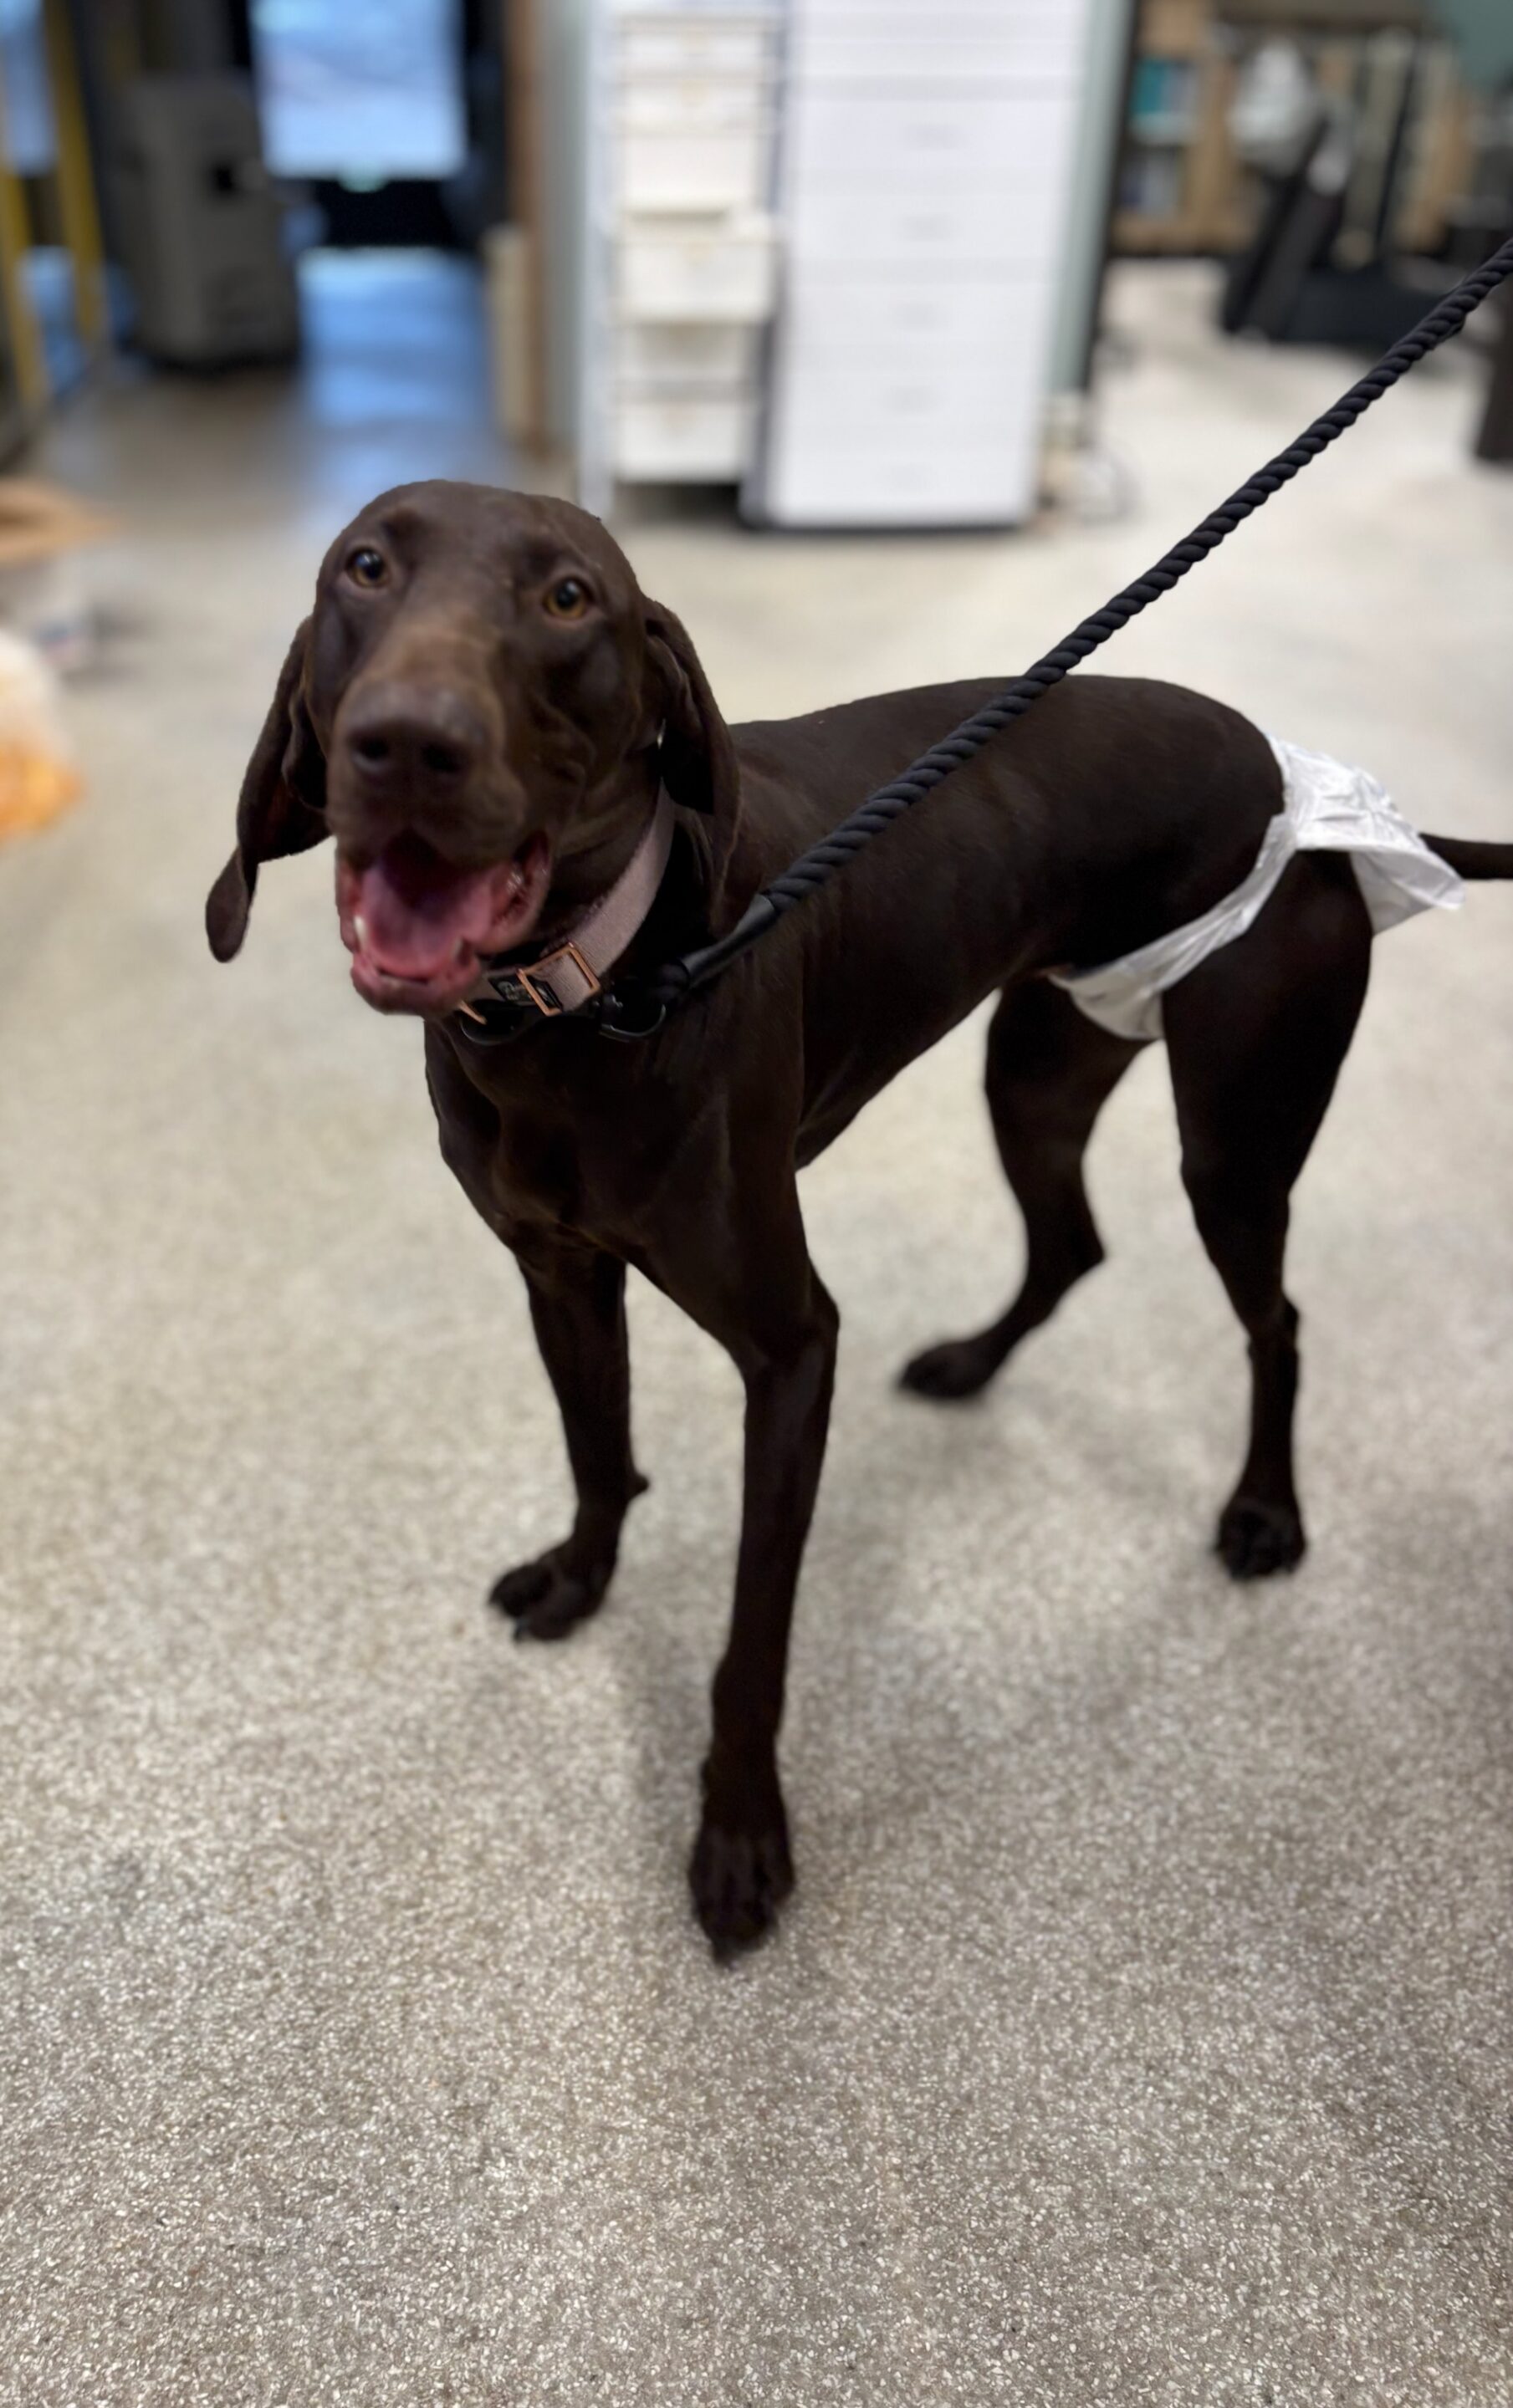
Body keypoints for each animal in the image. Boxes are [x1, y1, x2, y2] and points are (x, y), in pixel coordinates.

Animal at [207, 482, 1511, 1954]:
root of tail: (1302, 784)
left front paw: (738, 1838)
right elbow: (600, 1457)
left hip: (1233, 1140)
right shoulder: (560, 1277)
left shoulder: (789, 1348)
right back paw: (971, 1365)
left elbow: (751, 1633)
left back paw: (1263, 1512)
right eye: (365, 567)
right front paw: (582, 1583)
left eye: (568, 598)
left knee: (1275, 1320)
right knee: (1073, 1244)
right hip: (1038, 1071)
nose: (408, 743)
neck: (591, 996)